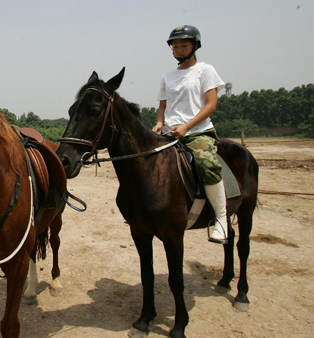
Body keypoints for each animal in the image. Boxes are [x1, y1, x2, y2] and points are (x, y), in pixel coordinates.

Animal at [0, 114, 65, 338]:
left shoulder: (16, 263)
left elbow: (9, 326)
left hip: (57, 217)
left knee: (55, 242)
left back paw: (56, 283)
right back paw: (29, 290)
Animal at [57, 69, 258, 338]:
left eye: (95, 110)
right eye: (71, 110)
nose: (64, 161)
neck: (151, 171)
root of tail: (244, 151)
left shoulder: (173, 235)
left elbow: (176, 280)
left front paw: (179, 325)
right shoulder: (139, 231)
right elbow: (147, 275)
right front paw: (144, 319)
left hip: (247, 210)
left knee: (243, 246)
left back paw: (242, 295)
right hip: (225, 213)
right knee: (229, 237)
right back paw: (225, 280)